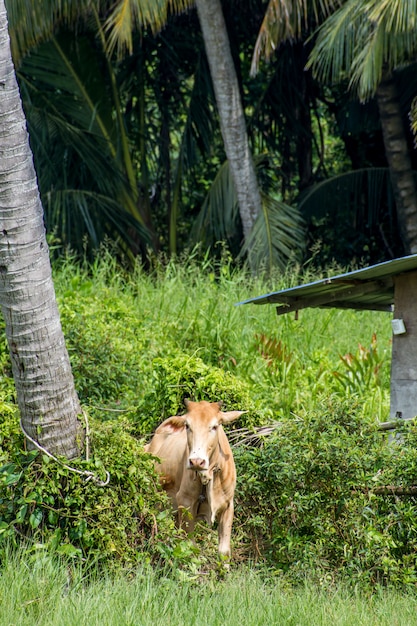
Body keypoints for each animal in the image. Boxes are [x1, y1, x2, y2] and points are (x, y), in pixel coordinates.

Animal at [144, 400, 244, 556]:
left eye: (214, 426)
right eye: (187, 426)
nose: (197, 461)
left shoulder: (228, 504)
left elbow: (223, 551)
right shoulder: (185, 503)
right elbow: (190, 547)